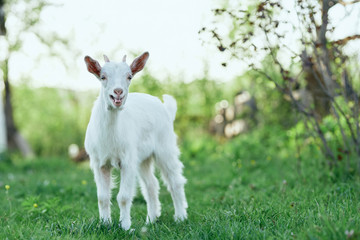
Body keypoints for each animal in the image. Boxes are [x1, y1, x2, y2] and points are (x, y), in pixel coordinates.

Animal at [84, 51, 188, 230]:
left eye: (129, 76)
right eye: (103, 76)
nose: (118, 92)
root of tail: (166, 108)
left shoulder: (127, 161)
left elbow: (124, 197)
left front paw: (125, 227)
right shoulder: (99, 163)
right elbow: (102, 197)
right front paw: (105, 224)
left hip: (165, 147)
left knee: (175, 181)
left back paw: (180, 216)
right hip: (143, 158)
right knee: (152, 184)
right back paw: (151, 219)